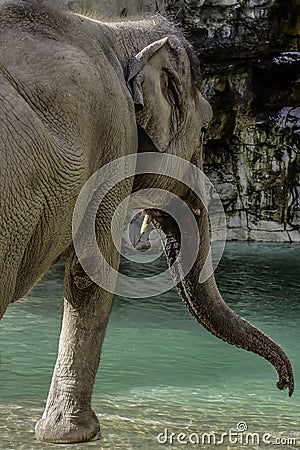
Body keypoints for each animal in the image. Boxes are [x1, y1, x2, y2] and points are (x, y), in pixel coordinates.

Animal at [0, 0, 296, 442]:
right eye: (206, 126)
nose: (284, 386)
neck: (118, 30)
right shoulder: (113, 135)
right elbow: (92, 270)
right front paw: (73, 435)